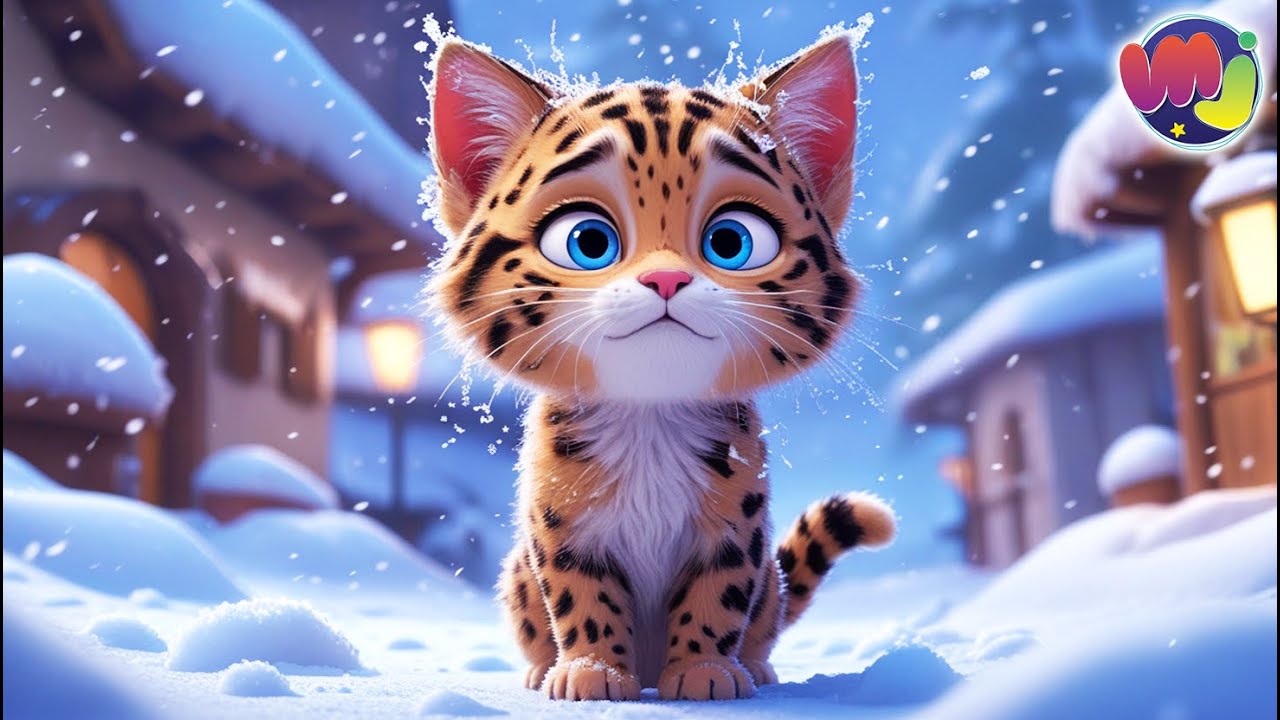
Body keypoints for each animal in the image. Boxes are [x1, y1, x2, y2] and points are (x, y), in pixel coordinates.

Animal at [423, 28, 896, 702]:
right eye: (588, 242)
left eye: (732, 242)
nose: (666, 279)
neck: (649, 421)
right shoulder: (561, 525)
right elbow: (582, 594)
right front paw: (592, 672)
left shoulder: (735, 527)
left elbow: (716, 597)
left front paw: (703, 672)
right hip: (516, 571)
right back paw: (543, 667)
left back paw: (755, 667)